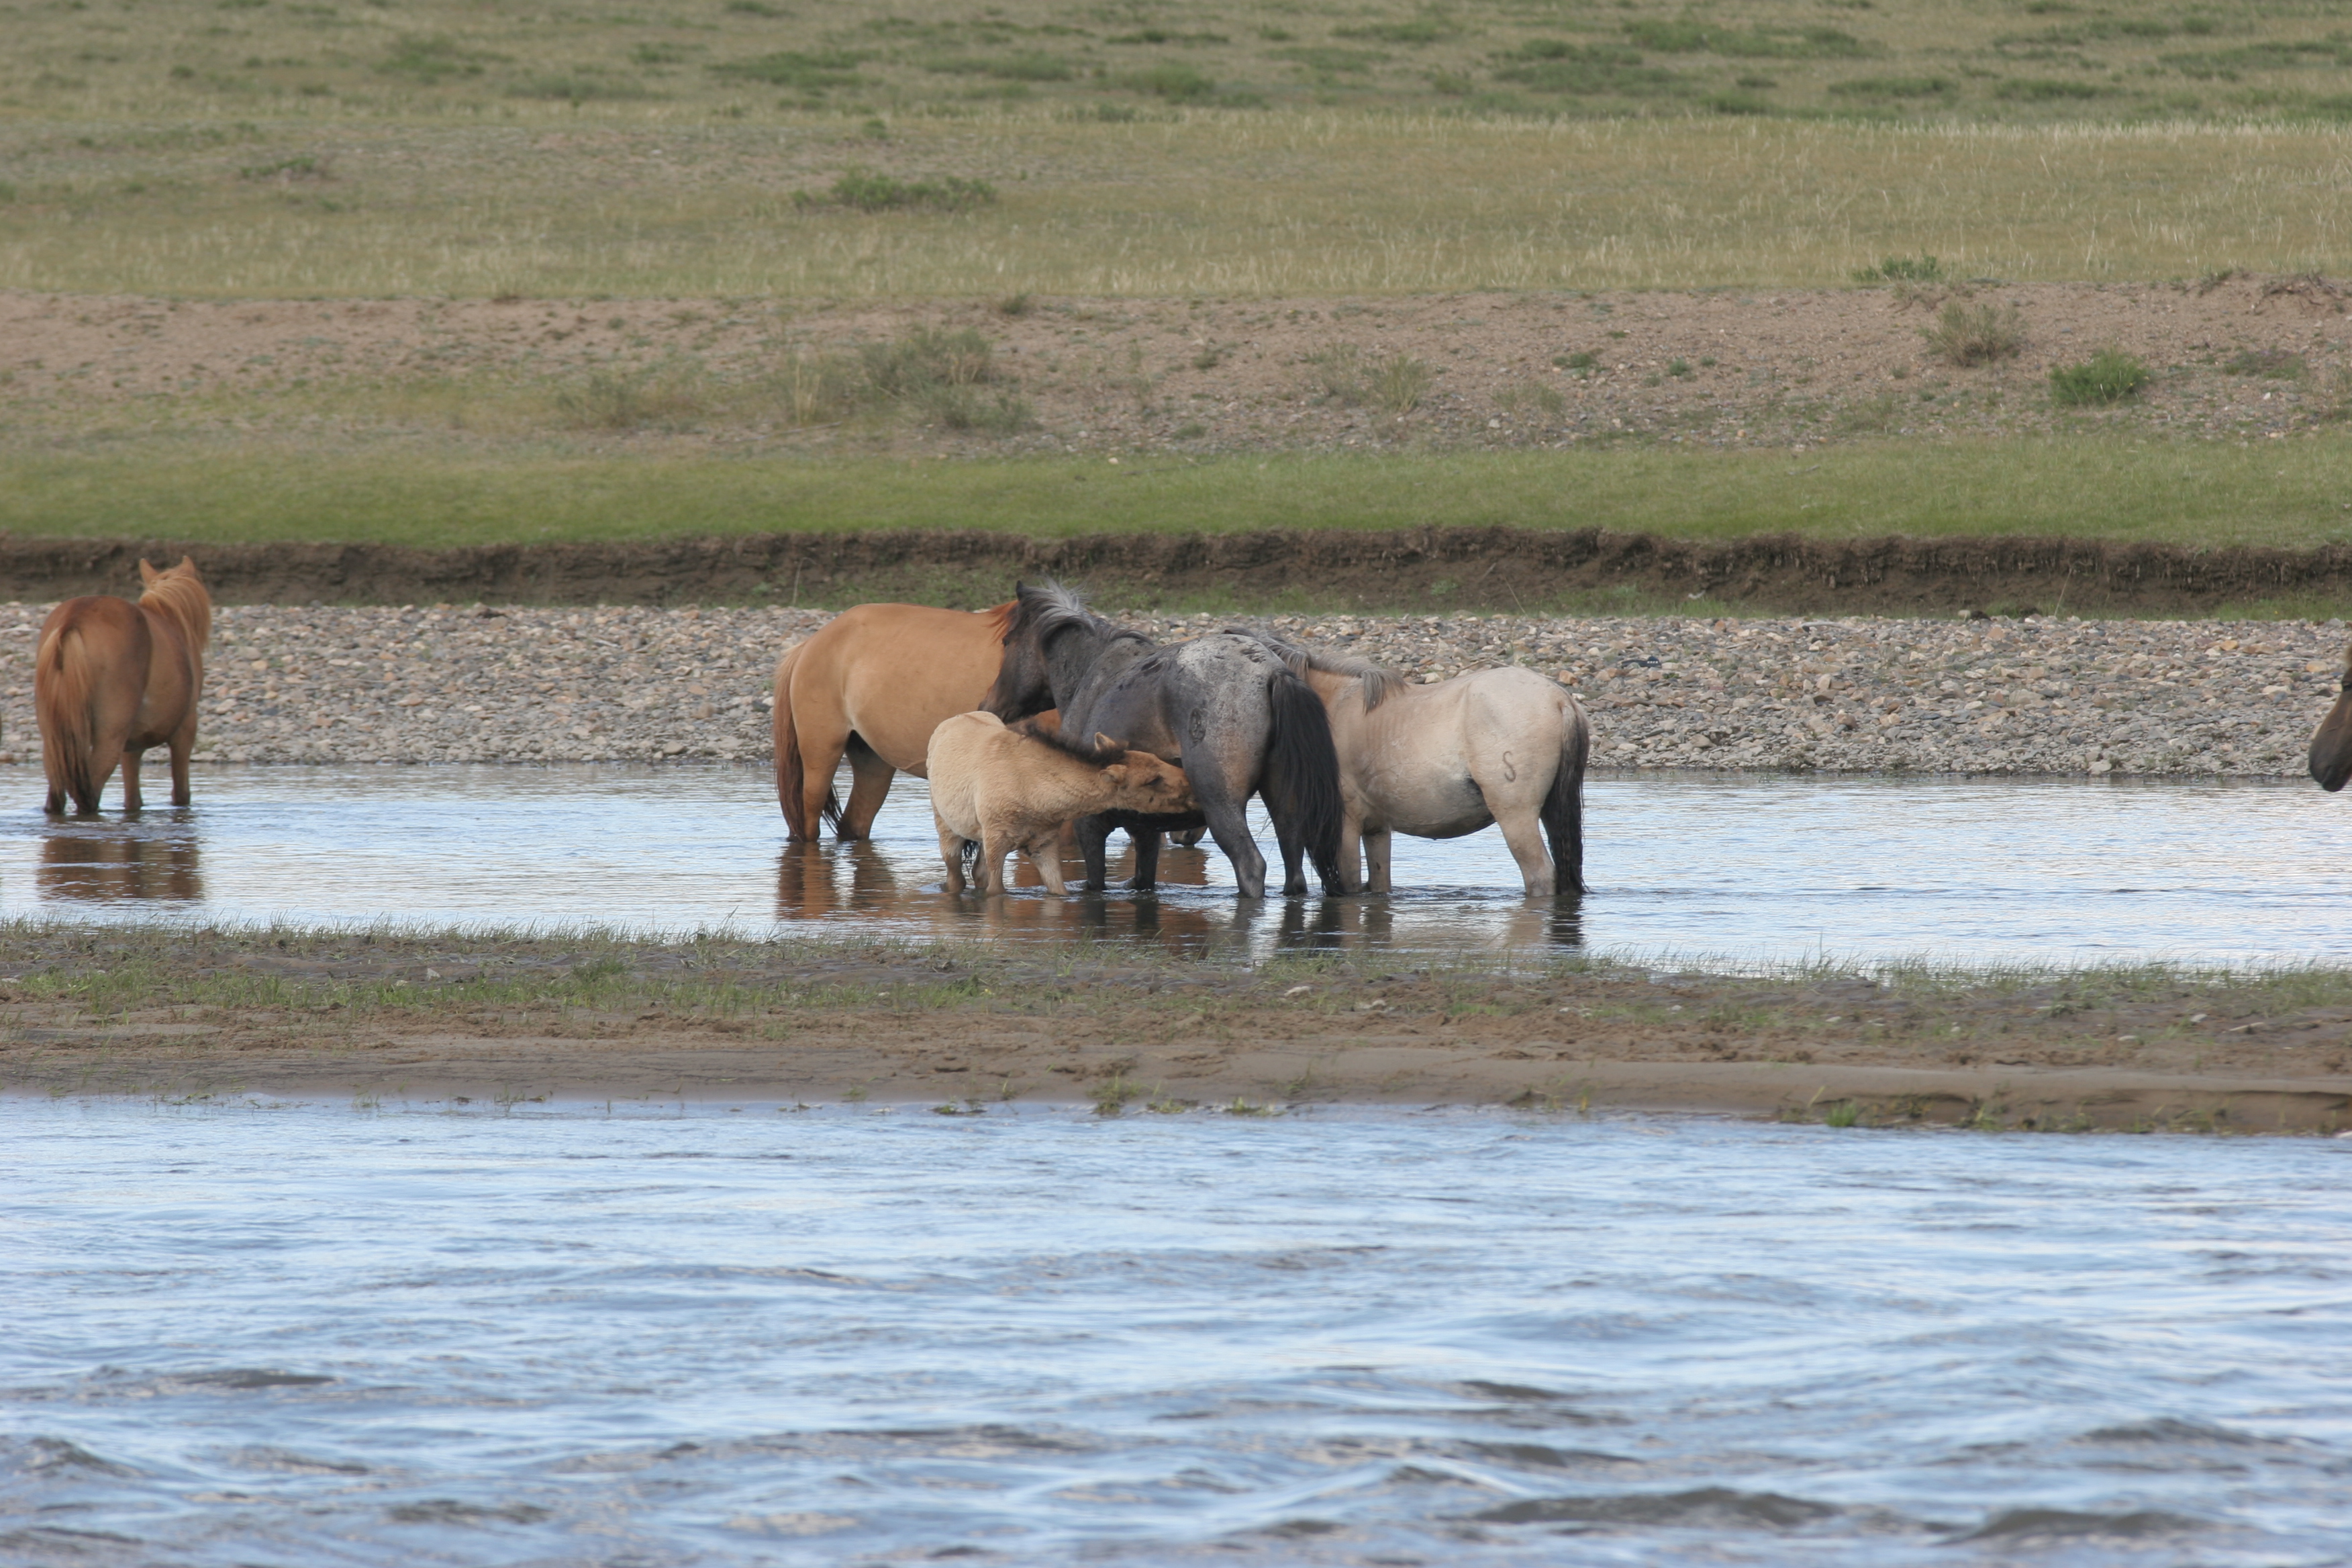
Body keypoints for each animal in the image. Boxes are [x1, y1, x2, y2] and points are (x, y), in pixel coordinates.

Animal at [35, 557, 212, 816]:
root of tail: (74, 619)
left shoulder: (131, 746)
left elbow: (133, 799)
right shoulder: (185, 731)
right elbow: (181, 794)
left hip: (57, 741)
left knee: (55, 798)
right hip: (109, 738)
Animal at [980, 581, 1345, 899]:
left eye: (1007, 642)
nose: (988, 706)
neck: (1092, 676)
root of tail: (1273, 672)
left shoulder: (1090, 824)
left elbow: (1096, 882)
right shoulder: (1145, 828)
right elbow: (1144, 878)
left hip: (1221, 805)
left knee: (1250, 866)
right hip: (1286, 809)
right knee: (1294, 873)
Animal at [1264, 638, 1590, 897]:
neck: (1332, 707)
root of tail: (1559, 699)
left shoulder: (1347, 828)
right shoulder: (1377, 829)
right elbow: (1379, 883)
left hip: (1516, 817)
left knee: (1539, 875)